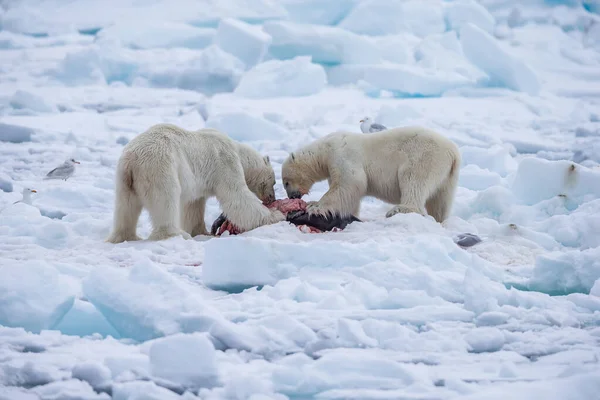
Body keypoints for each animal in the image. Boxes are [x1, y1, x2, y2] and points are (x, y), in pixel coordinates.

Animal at [106, 122, 284, 244]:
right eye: (274, 181)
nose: (272, 198)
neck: (237, 150)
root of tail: (132, 160)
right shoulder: (225, 163)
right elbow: (236, 196)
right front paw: (276, 215)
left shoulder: (198, 183)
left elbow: (193, 206)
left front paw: (201, 232)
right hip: (159, 168)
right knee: (165, 201)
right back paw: (175, 234)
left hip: (124, 179)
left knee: (125, 207)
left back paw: (127, 236)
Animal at [280, 126, 460, 223]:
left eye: (286, 182)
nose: (292, 196)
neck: (325, 149)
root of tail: (453, 152)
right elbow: (348, 194)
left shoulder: (342, 154)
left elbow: (349, 182)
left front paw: (315, 205)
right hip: (448, 175)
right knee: (440, 200)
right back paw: (439, 218)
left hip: (424, 156)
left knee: (413, 180)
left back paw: (400, 209)